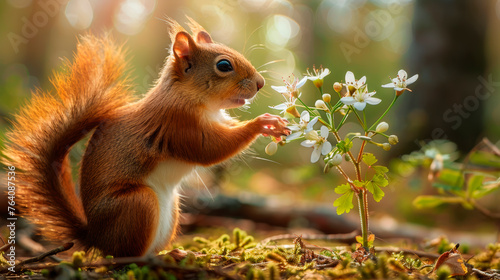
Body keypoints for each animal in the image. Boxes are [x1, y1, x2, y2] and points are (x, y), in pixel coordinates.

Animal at [1, 18, 290, 258]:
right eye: (223, 65)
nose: (261, 83)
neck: (195, 99)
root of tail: (96, 238)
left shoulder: (216, 119)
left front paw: (276, 122)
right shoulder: (176, 124)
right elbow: (209, 150)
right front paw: (261, 124)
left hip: (172, 209)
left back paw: (175, 253)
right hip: (137, 204)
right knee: (125, 255)